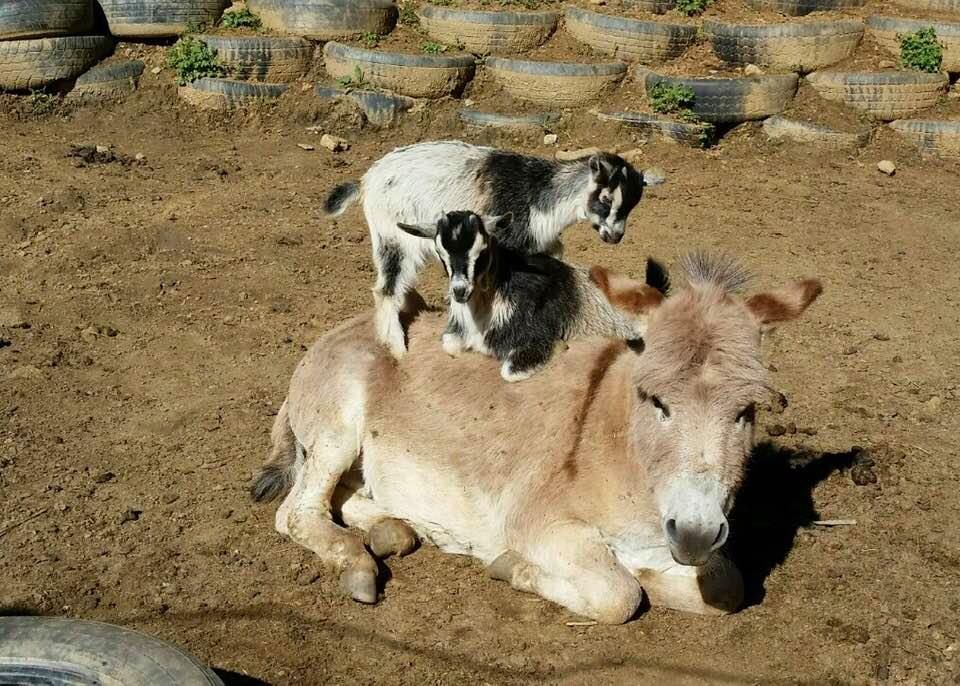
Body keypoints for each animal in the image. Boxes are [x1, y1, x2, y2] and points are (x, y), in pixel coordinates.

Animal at [323, 140, 666, 358]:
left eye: (633, 204)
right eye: (606, 199)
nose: (614, 236)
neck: (539, 196)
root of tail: (366, 181)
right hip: (393, 236)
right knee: (386, 288)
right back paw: (397, 348)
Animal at [396, 210, 659, 381]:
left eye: (483, 250)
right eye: (439, 252)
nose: (460, 290)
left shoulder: (534, 341)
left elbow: (509, 372)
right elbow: (450, 345)